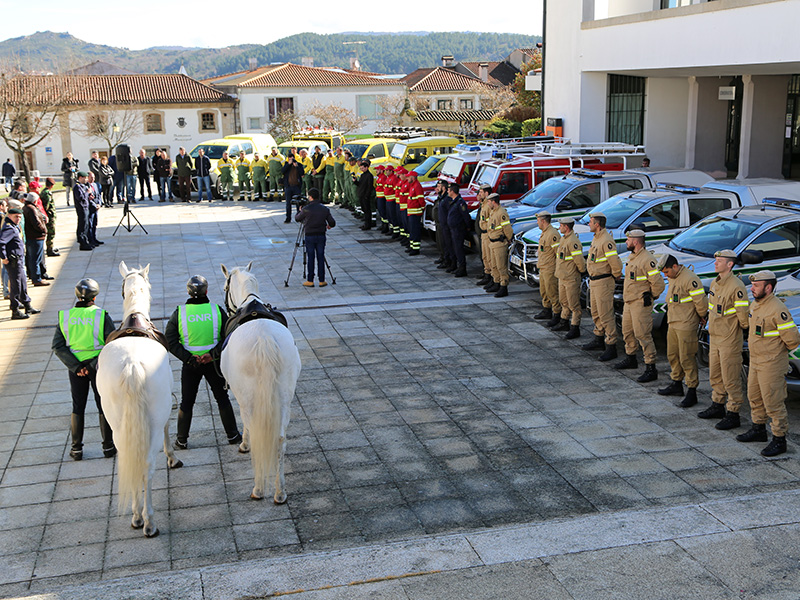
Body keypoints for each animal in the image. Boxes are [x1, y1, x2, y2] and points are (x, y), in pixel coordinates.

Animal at [97, 260, 183, 536]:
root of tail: (132, 364)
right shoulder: (163, 412)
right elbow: (167, 429)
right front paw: (172, 457)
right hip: (152, 419)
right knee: (146, 465)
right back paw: (148, 521)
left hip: (117, 422)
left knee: (128, 458)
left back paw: (136, 515)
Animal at [220, 262, 302, 502]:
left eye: (225, 287)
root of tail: (264, 340)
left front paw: (244, 443)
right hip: (284, 399)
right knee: (279, 440)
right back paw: (280, 492)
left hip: (249, 398)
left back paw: (258, 489)